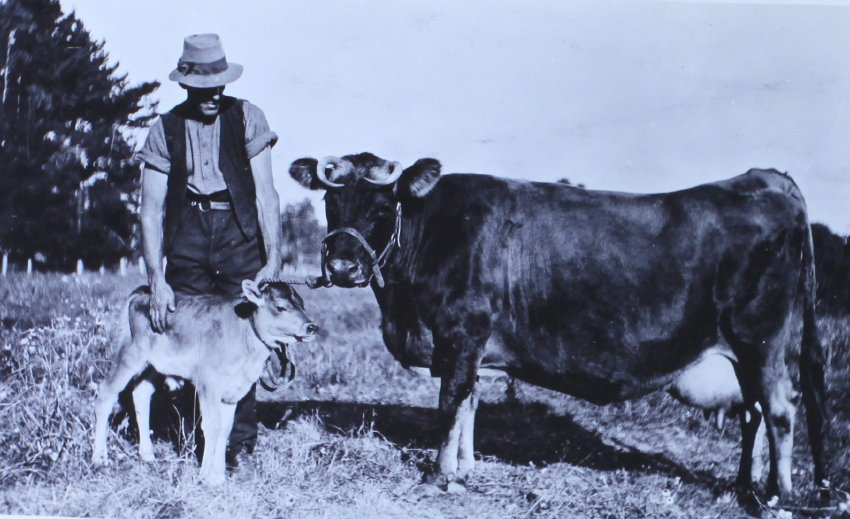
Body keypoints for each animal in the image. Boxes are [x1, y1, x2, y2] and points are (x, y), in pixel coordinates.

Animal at [92, 280, 318, 485]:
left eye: (302, 304)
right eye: (281, 307)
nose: (312, 326)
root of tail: (143, 292)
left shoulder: (233, 390)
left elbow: (225, 429)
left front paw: (218, 476)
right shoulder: (208, 383)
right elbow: (212, 426)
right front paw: (206, 476)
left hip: (154, 364)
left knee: (141, 393)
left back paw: (147, 455)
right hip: (130, 353)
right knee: (105, 393)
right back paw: (99, 458)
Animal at [289, 153, 829, 500]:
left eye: (382, 207)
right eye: (332, 205)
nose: (341, 266)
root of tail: (766, 177)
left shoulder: (461, 334)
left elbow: (449, 405)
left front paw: (439, 476)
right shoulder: (470, 346)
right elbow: (468, 404)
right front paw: (465, 468)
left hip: (762, 340)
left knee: (780, 410)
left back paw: (778, 496)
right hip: (743, 351)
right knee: (752, 413)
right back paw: (744, 487)